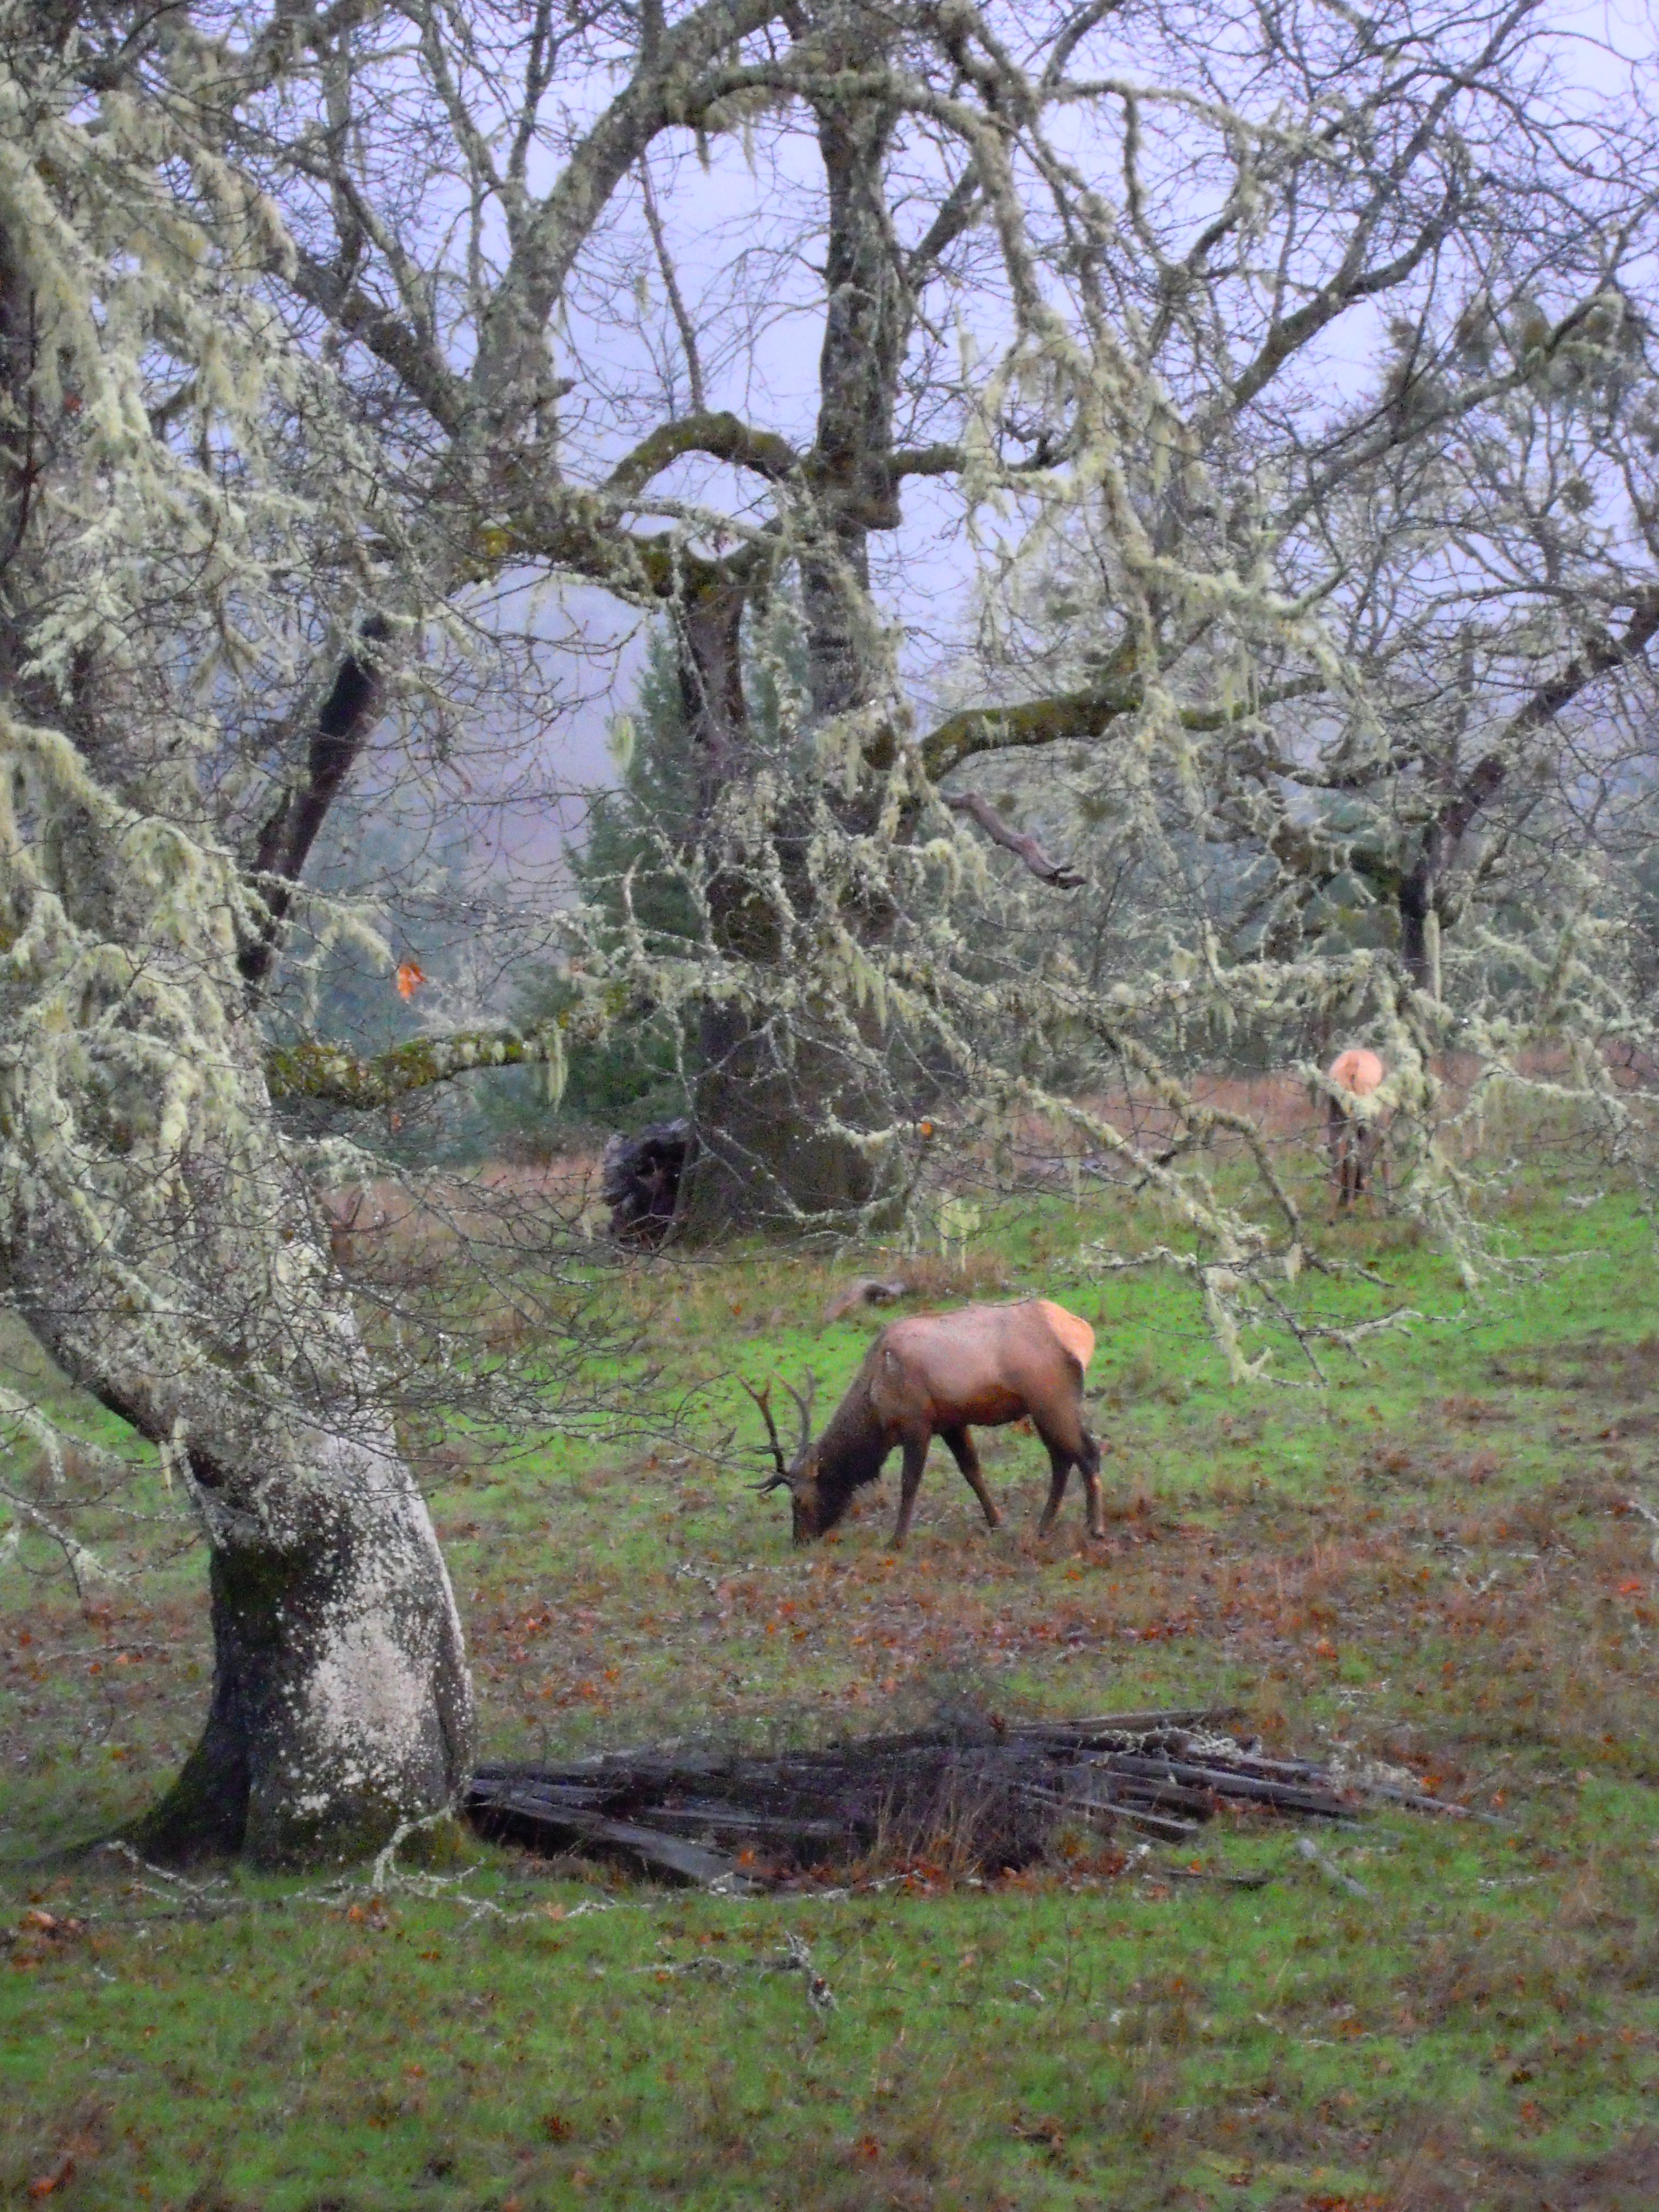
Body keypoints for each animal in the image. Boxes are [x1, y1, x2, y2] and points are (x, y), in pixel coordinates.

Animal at [747, 1298, 1104, 1547]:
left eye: (799, 1500)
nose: (800, 1540)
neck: (876, 1404)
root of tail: (1082, 1333)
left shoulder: (916, 1422)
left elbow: (909, 1483)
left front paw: (897, 1540)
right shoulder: (950, 1421)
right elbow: (972, 1471)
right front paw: (996, 1521)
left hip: (1053, 1400)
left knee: (1088, 1454)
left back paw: (1095, 1527)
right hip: (1042, 1408)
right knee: (1062, 1459)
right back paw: (1044, 1526)